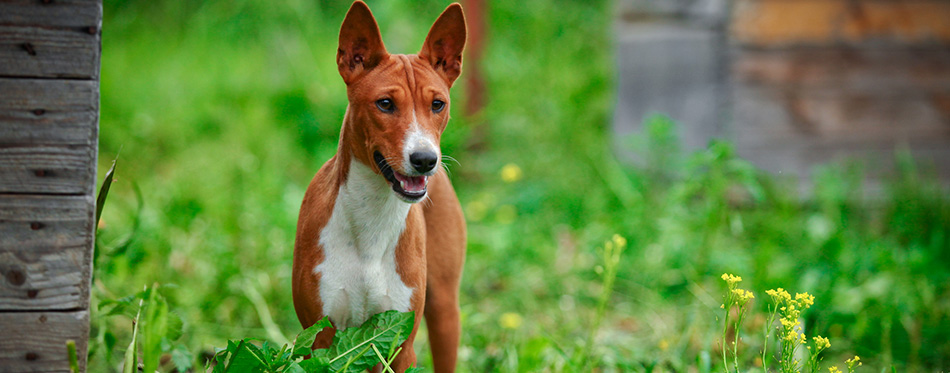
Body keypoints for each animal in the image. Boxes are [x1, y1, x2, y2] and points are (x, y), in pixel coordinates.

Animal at [290, 1, 468, 370]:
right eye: (385, 103)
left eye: (438, 104)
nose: (425, 159)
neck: (372, 218)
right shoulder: (320, 339)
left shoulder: (400, 341)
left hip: (444, 310)